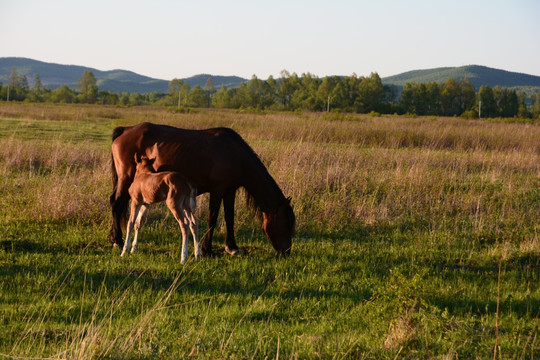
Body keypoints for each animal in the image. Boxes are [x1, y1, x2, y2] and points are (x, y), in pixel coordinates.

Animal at [109, 123, 296, 256]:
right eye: (286, 224)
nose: (286, 252)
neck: (235, 154)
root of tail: (125, 130)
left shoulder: (230, 191)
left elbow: (229, 218)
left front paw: (232, 247)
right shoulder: (217, 191)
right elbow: (212, 218)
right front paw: (207, 249)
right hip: (126, 179)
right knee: (116, 204)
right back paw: (117, 240)